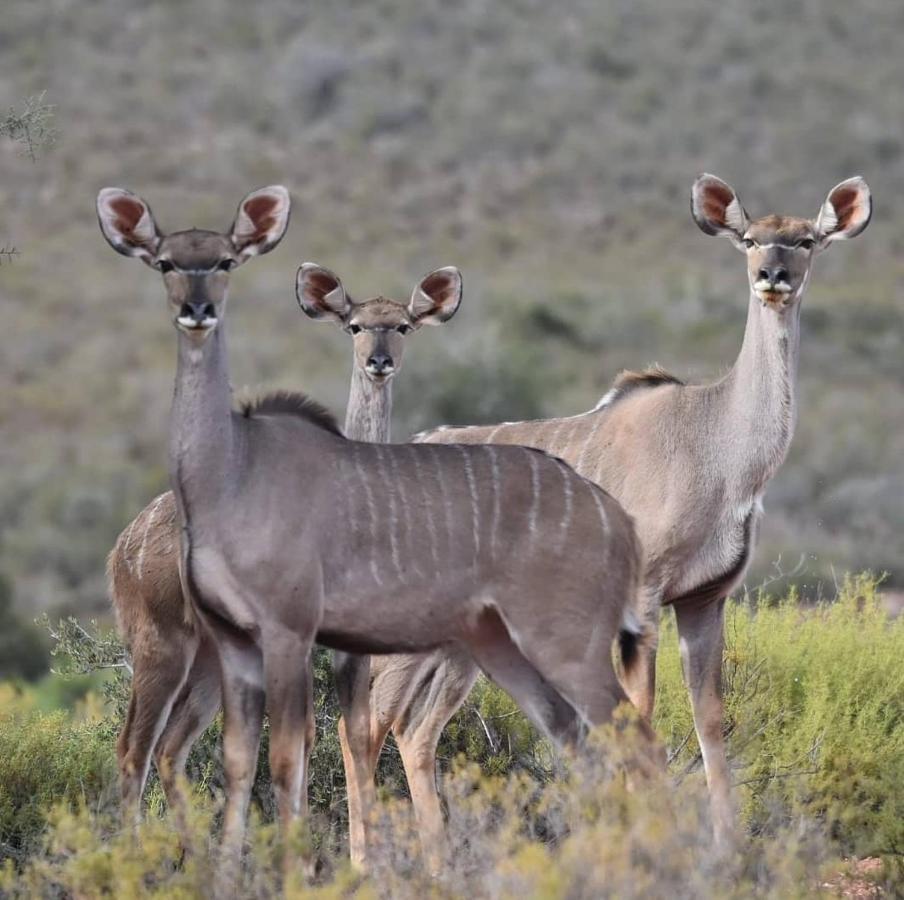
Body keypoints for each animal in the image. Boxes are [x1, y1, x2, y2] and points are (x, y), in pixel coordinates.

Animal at [107, 251, 460, 816]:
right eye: (355, 325)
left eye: (403, 325)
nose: (378, 361)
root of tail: (122, 549)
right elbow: (305, 739)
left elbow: (347, 732)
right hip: (161, 644)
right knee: (134, 748)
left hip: (209, 656)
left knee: (170, 747)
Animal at [340, 172, 868, 856]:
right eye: (750, 239)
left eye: (805, 240)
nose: (772, 276)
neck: (718, 441)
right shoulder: (643, 602)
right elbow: (641, 715)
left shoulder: (704, 601)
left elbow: (709, 717)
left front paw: (729, 847)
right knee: (368, 719)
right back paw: (364, 861)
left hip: (463, 644)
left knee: (414, 728)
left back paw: (435, 858)